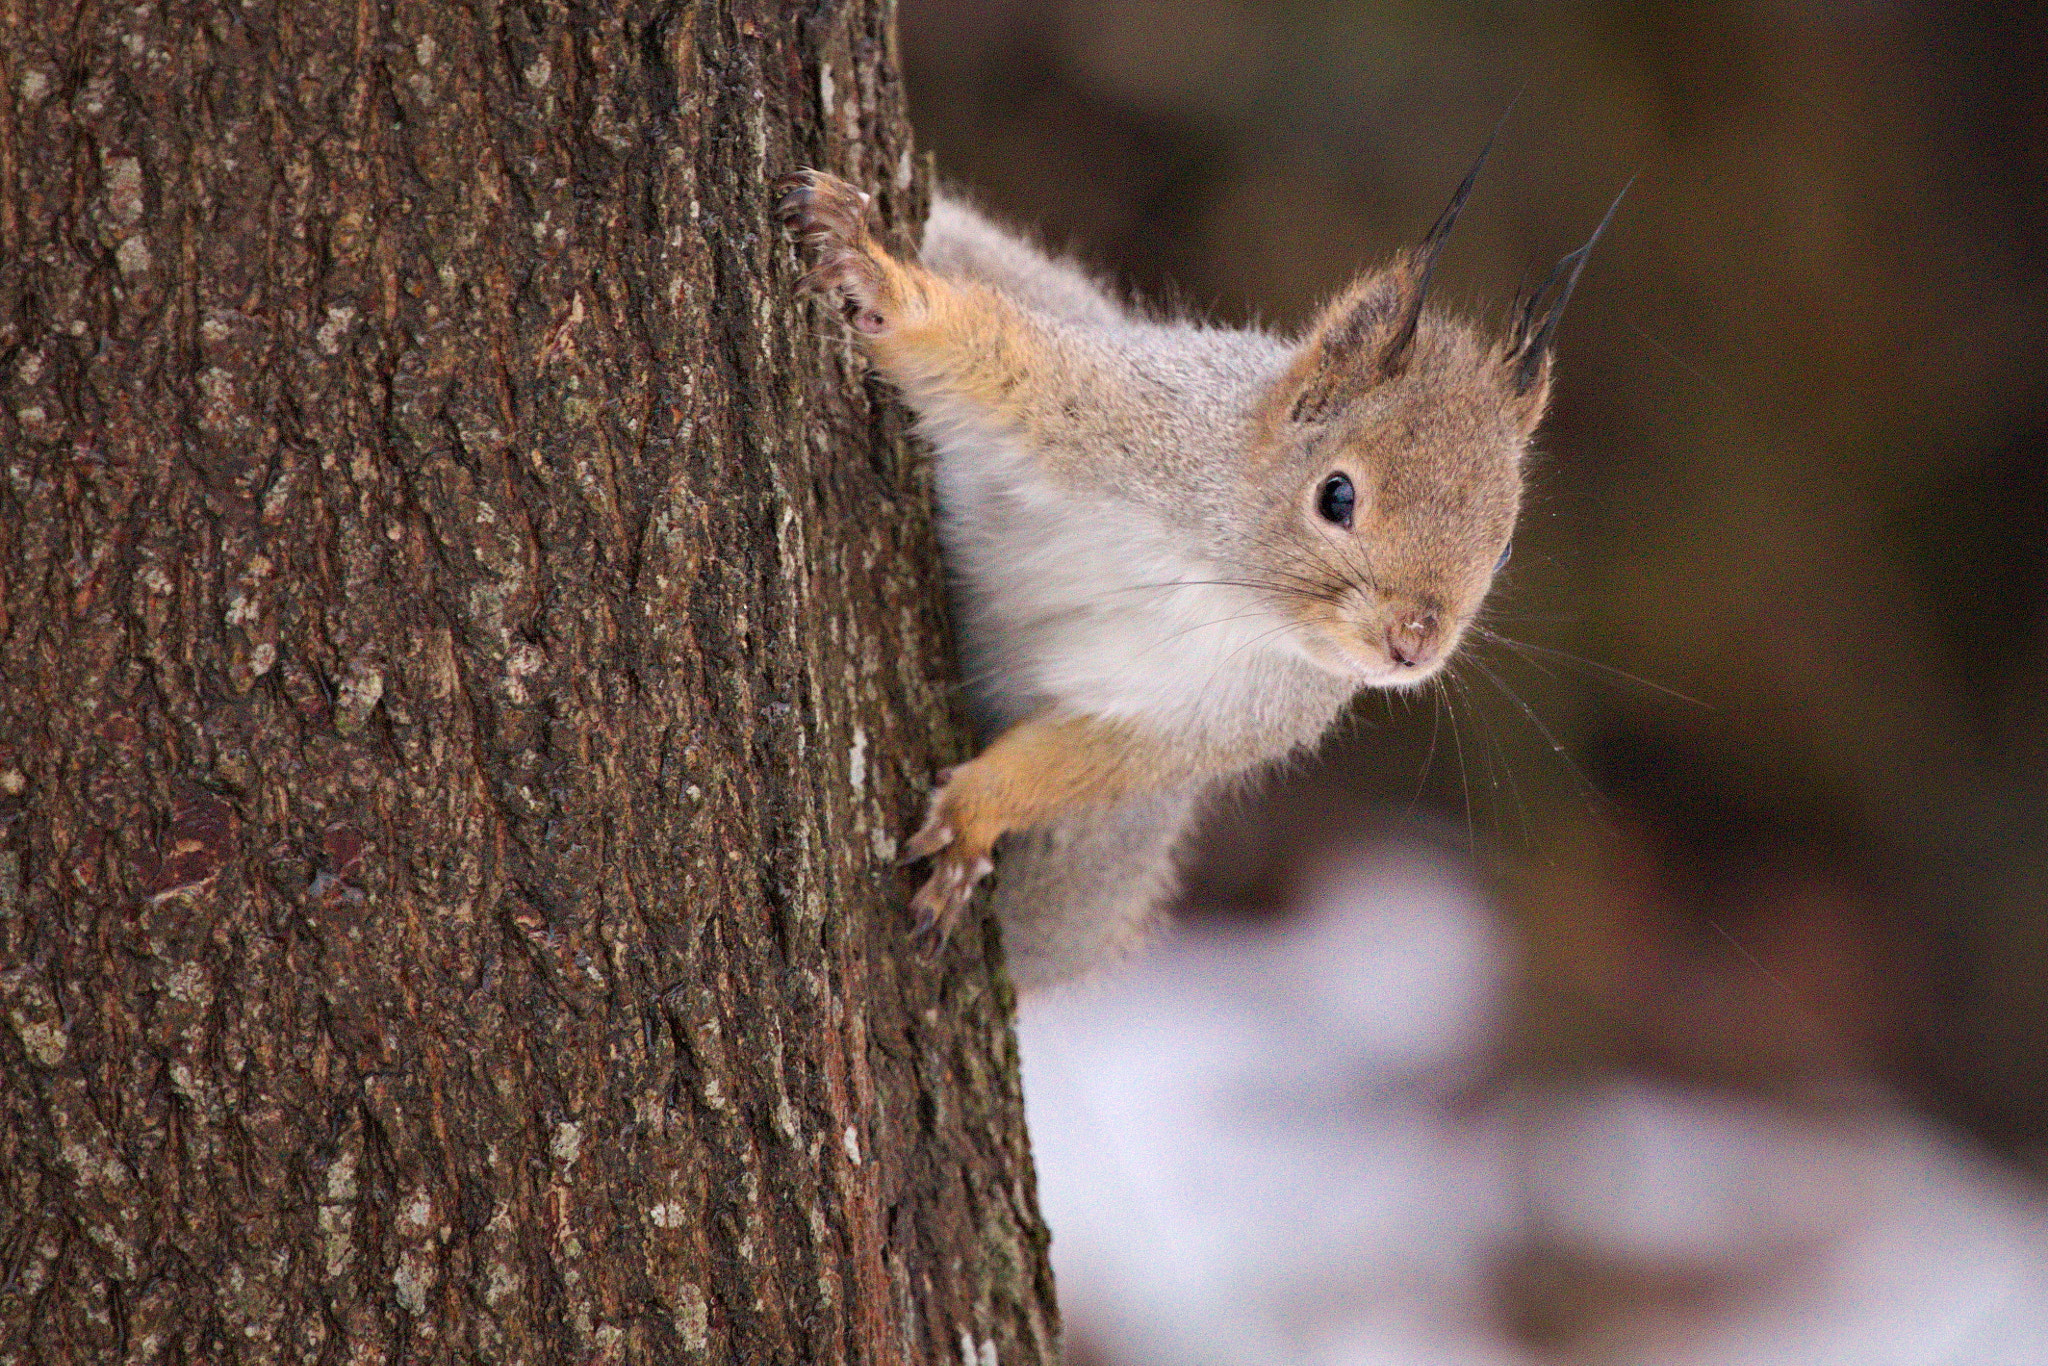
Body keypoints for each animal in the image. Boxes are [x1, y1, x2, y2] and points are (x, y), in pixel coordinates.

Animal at [770, 154, 1613, 987]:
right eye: (1336, 495)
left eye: (1502, 549)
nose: (1412, 645)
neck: (1221, 580)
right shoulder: (1128, 419)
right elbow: (994, 362)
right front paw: (872, 274)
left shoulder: (1227, 715)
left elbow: (1097, 761)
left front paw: (976, 814)